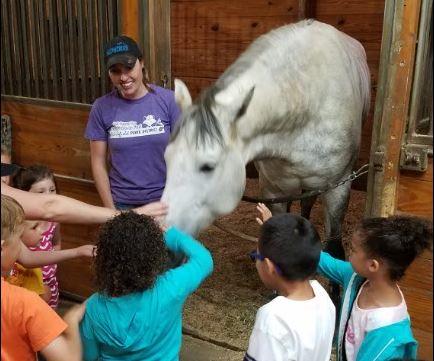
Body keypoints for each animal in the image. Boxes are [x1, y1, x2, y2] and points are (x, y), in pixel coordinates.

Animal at [161, 19, 372, 262]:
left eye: (208, 166)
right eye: (167, 158)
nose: (165, 245)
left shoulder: (339, 188)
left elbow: (335, 249)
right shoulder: (274, 191)